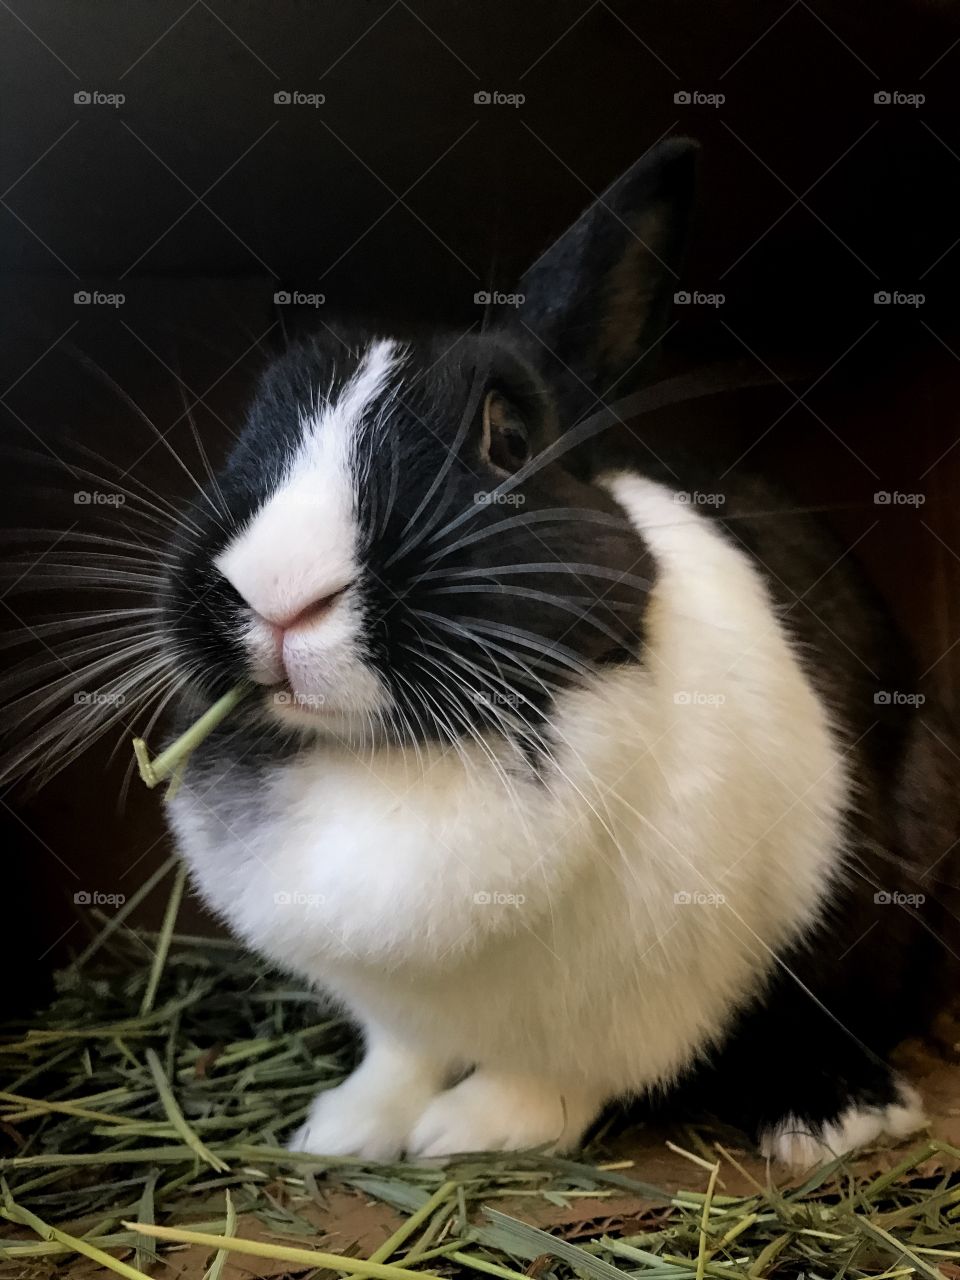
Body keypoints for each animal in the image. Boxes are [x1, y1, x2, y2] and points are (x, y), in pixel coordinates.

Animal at [150, 137, 960, 1168]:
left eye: (506, 441)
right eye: (248, 433)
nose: (280, 593)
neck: (391, 753)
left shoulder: (642, 997)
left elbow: (557, 1080)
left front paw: (463, 1130)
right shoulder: (397, 1014)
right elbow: (400, 1058)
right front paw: (344, 1130)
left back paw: (830, 1116)